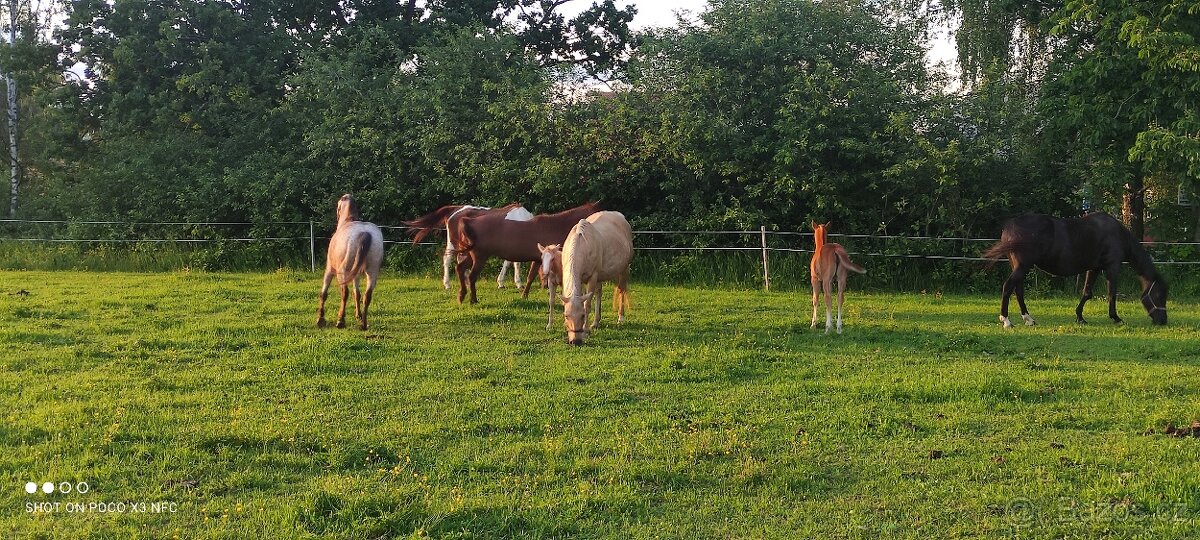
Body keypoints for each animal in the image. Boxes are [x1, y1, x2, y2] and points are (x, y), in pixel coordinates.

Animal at [316, 194, 381, 328]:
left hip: (343, 271)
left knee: (344, 293)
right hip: (372, 272)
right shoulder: (356, 274)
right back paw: (363, 324)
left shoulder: (329, 269)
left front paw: (320, 319)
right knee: (367, 295)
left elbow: (324, 293)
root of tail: (364, 232)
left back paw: (340, 321)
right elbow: (357, 293)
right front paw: (358, 315)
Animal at [403, 205, 535, 291]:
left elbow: (511, 263)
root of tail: (455, 210)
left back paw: (465, 281)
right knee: (447, 260)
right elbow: (512, 263)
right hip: (453, 243)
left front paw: (510, 283)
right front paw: (512, 283)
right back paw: (447, 284)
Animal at [451, 201, 600, 306]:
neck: (555, 225)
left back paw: (461, 296)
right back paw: (473, 299)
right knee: (471, 276)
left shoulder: (538, 260)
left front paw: (524, 295)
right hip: (480, 257)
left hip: (470, 256)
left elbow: (531, 277)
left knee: (460, 269)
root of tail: (468, 221)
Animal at [561, 211, 638, 345]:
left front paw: (586, 330)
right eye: (566, 316)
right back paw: (596, 322)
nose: (575, 341)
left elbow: (587, 305)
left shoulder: (592, 277)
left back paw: (621, 318)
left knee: (622, 291)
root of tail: (620, 216)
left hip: (624, 270)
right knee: (599, 293)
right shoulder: (582, 280)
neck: (582, 246)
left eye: (582, 315)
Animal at [979, 213, 1166, 326]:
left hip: (1021, 267)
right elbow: (1112, 293)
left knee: (1018, 290)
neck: (1117, 234)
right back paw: (1006, 321)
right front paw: (1116, 318)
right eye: (1159, 295)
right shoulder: (1112, 266)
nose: (1163, 320)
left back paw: (1029, 319)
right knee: (1008, 287)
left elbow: (1087, 293)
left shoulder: (1094, 268)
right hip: (1022, 266)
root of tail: (1009, 227)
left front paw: (1080, 317)